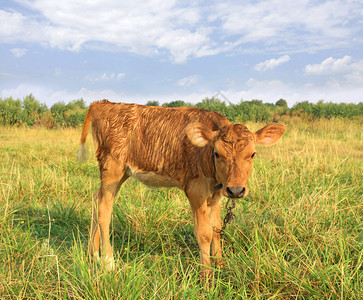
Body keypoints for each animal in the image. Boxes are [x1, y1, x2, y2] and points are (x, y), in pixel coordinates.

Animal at [78, 101, 286, 276]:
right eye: (217, 154)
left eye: (252, 154)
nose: (236, 190)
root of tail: (103, 103)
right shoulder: (195, 190)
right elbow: (204, 233)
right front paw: (207, 276)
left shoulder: (217, 194)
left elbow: (217, 228)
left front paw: (220, 265)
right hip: (112, 167)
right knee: (104, 208)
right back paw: (108, 261)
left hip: (120, 173)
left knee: (96, 199)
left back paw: (92, 255)